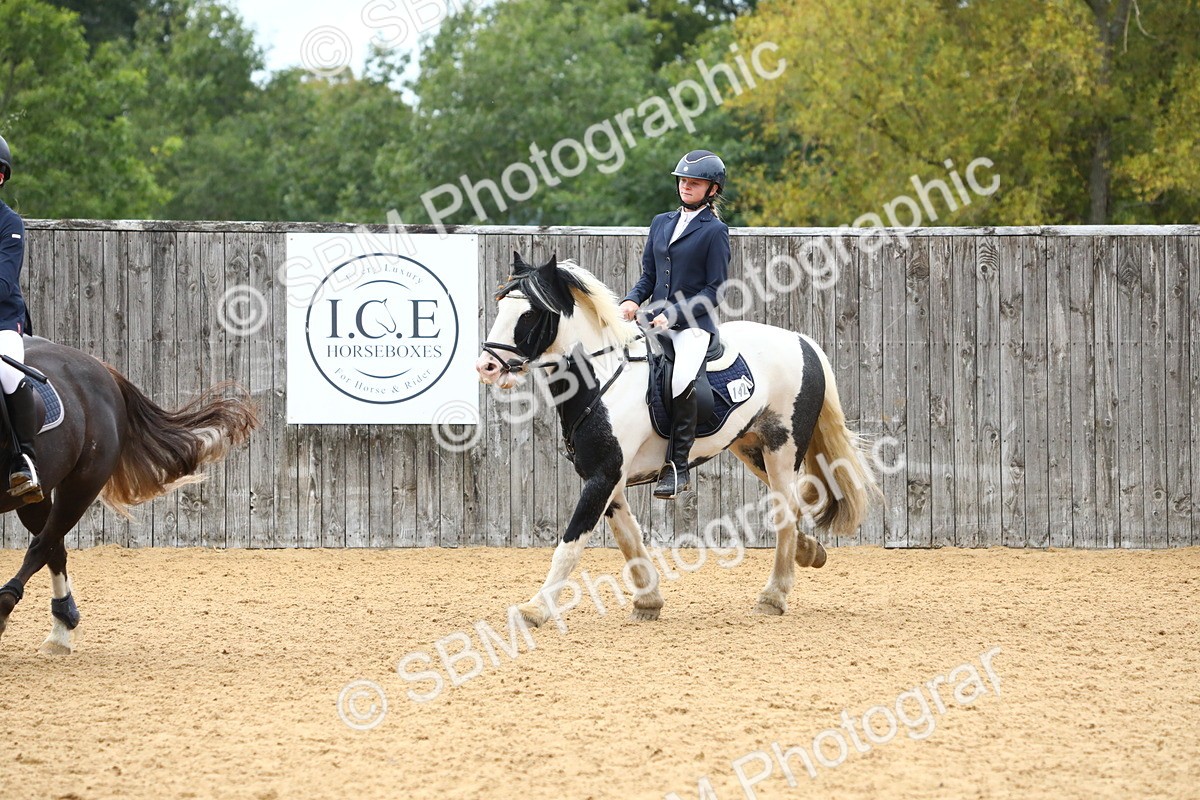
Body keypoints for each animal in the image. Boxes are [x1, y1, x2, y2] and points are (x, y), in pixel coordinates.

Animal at [0, 336, 257, 654]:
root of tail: (100, 367)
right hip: (37, 493)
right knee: (53, 548)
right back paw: (61, 625)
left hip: (82, 483)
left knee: (43, 546)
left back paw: (23, 615)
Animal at [476, 253, 881, 626]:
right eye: (501, 306)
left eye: (530, 313)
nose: (487, 367)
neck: (603, 378)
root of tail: (802, 341)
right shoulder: (606, 476)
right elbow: (629, 537)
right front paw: (648, 601)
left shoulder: (603, 475)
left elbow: (571, 545)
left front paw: (535, 609)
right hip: (752, 447)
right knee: (793, 505)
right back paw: (809, 552)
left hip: (783, 447)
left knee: (785, 510)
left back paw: (774, 596)